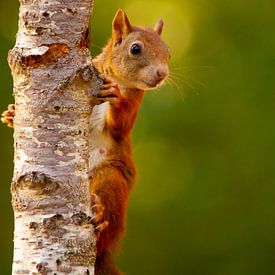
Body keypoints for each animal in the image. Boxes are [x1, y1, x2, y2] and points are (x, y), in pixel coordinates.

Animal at [2, 9, 170, 275]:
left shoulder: (135, 102)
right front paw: (12, 113)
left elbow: (121, 126)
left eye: (168, 53)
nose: (162, 74)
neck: (117, 80)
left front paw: (116, 99)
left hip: (111, 177)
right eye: (135, 48)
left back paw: (100, 217)